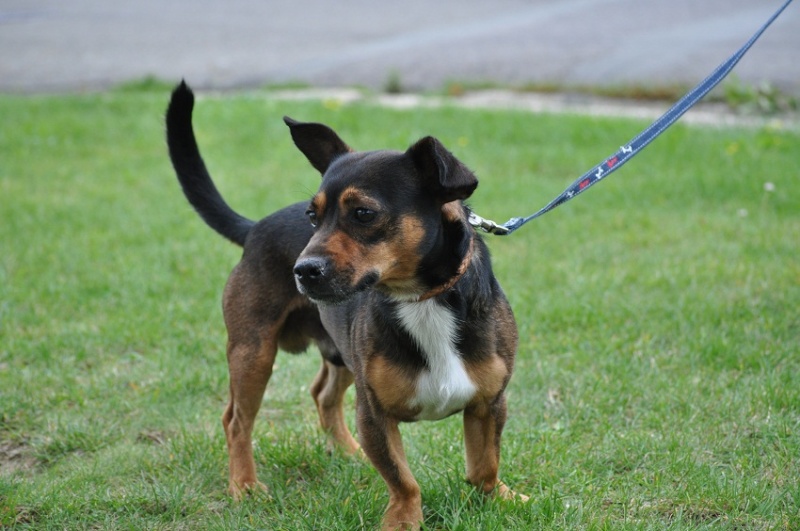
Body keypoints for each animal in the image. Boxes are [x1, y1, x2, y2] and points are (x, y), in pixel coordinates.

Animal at [166, 81, 528, 528]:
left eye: (363, 213)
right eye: (312, 216)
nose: (303, 270)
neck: (420, 299)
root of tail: (254, 229)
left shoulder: (488, 403)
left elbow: (484, 467)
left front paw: (501, 498)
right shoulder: (374, 414)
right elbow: (403, 480)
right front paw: (403, 520)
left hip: (337, 352)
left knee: (322, 394)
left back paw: (347, 452)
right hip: (253, 353)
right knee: (237, 421)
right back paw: (244, 484)